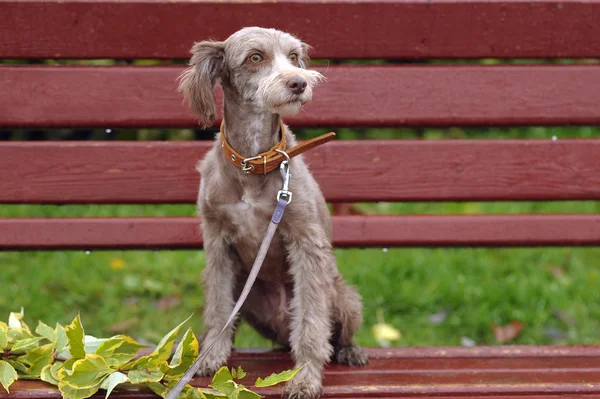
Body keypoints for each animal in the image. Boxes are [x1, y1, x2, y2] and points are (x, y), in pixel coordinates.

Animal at [176, 27, 368, 399]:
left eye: (293, 56)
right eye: (255, 57)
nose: (299, 83)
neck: (254, 162)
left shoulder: (306, 242)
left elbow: (311, 323)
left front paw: (305, 377)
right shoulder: (217, 242)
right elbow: (218, 307)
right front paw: (210, 357)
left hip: (343, 296)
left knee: (333, 331)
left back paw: (350, 351)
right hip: (247, 298)